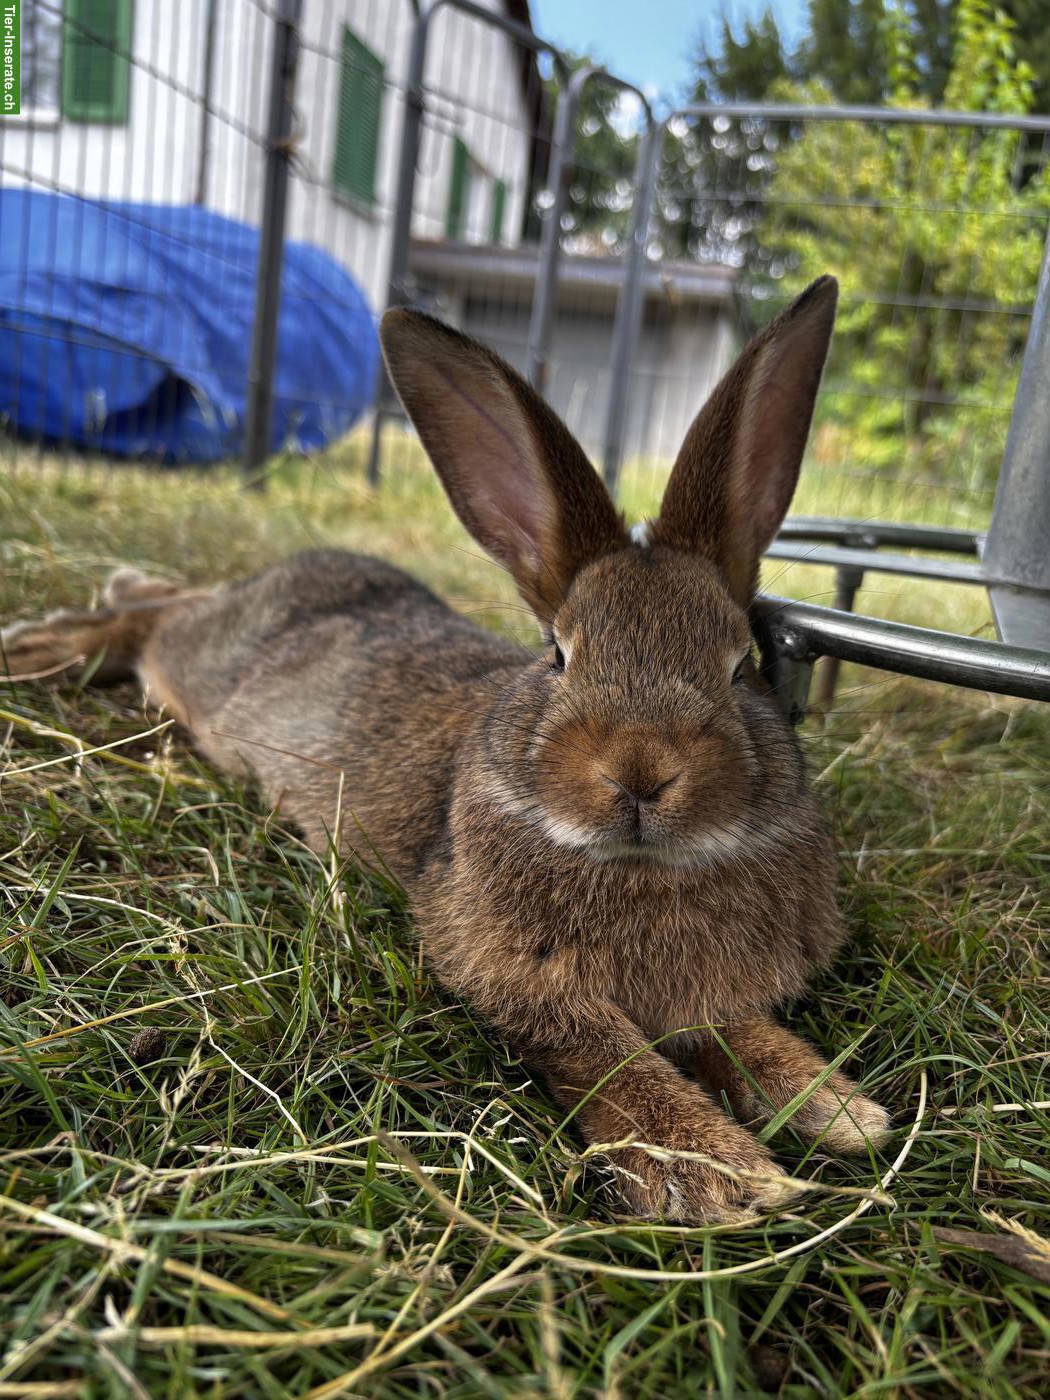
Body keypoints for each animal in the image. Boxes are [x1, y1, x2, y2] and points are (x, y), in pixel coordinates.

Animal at [1, 275, 889, 1222]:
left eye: (739, 666)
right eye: (558, 655)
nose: (641, 772)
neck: (646, 865)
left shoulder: (706, 998)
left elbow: (742, 1033)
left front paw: (838, 1109)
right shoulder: (511, 974)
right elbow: (604, 1053)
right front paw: (716, 1170)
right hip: (199, 663)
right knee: (153, 622)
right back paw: (40, 645)